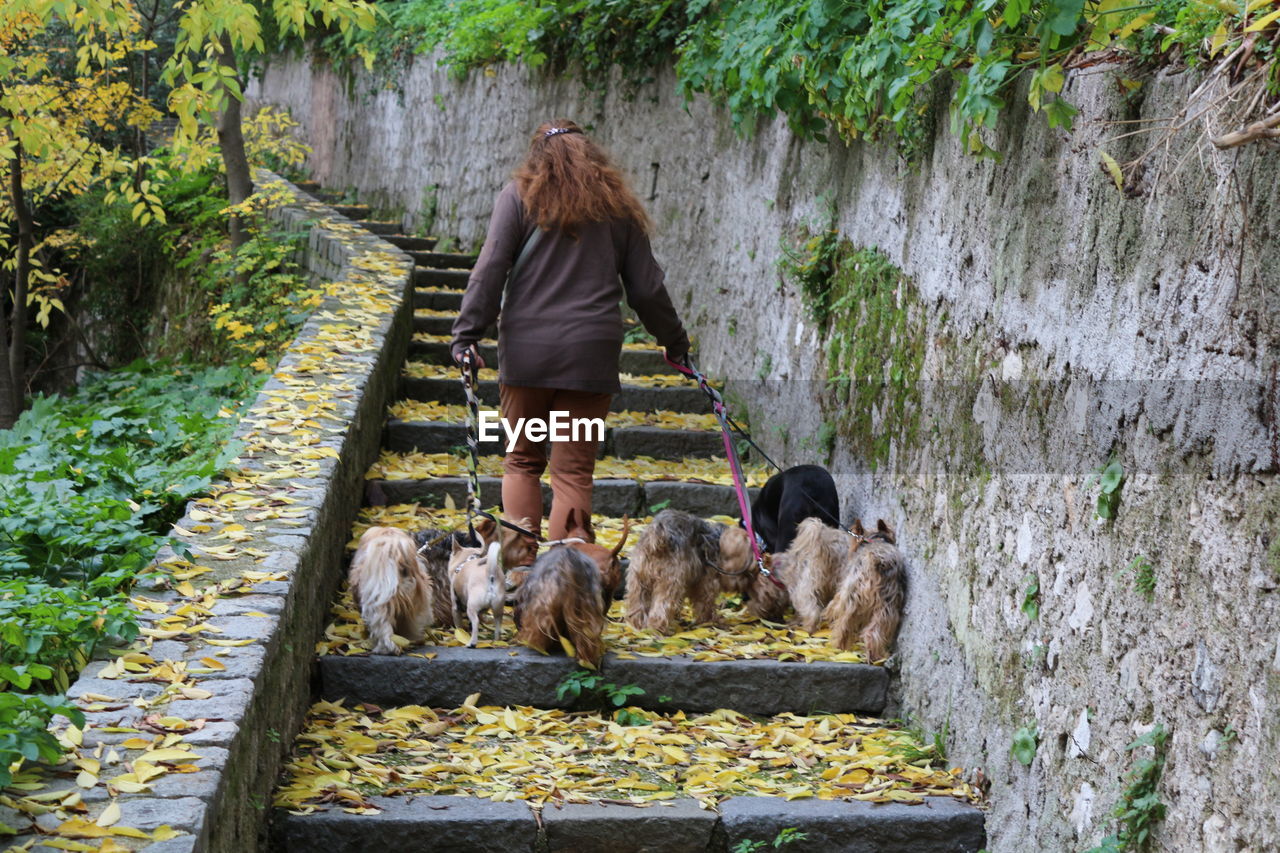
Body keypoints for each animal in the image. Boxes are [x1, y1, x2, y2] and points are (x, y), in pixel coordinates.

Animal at [624, 504, 752, 630]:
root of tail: (658, 537)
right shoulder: (706, 583)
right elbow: (705, 602)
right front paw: (709, 621)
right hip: (669, 580)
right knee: (662, 606)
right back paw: (657, 628)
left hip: (638, 578)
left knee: (638, 603)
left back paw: (639, 625)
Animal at [824, 514, 906, 660]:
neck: (875, 539)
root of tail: (876, 561)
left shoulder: (844, 589)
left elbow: (834, 605)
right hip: (887, 603)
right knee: (873, 630)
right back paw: (874, 656)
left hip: (852, 595)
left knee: (843, 624)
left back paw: (839, 647)